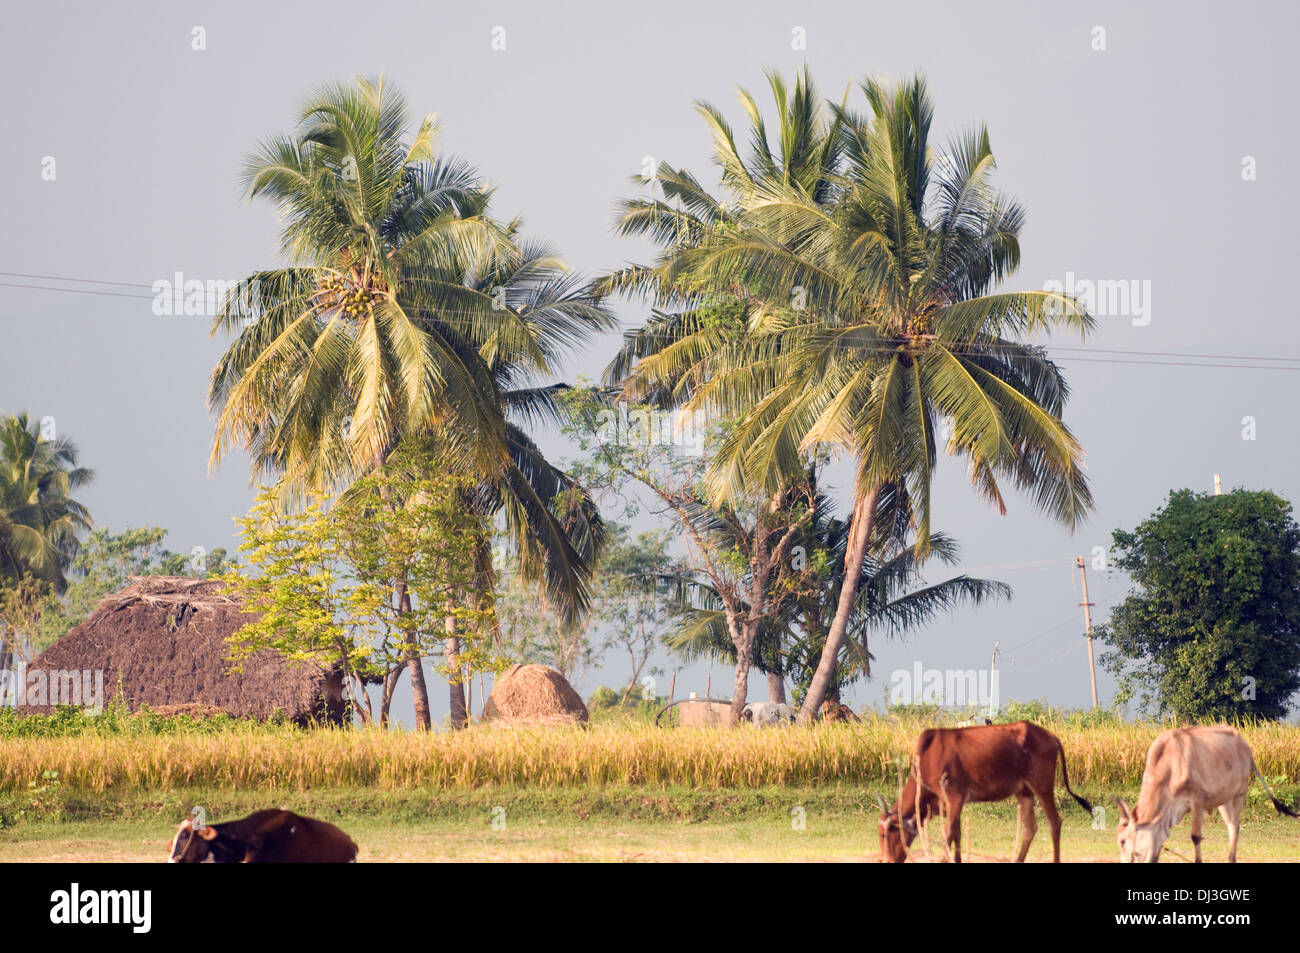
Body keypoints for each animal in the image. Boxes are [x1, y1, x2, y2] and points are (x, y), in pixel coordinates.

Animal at [878, 722, 1092, 863]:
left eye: (884, 835)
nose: (885, 861)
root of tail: (1051, 736)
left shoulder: (954, 797)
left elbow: (949, 834)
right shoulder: (954, 805)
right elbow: (957, 834)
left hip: (1042, 786)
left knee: (1054, 822)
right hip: (1024, 792)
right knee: (1030, 828)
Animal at [1112, 722, 1294, 868]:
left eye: (1122, 841)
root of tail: (1244, 745)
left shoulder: (1197, 800)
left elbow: (1196, 837)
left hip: (1239, 794)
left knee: (1234, 827)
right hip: (1224, 800)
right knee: (1230, 825)